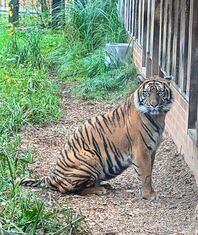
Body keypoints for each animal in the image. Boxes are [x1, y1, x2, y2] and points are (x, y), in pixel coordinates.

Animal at [20, 75, 173, 200]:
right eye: (147, 93)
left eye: (160, 92)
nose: (153, 105)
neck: (158, 117)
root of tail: (53, 175)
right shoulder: (141, 150)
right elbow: (145, 174)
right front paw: (149, 195)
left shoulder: (152, 150)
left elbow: (149, 171)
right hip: (90, 158)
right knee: (70, 190)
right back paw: (100, 189)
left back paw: (105, 185)